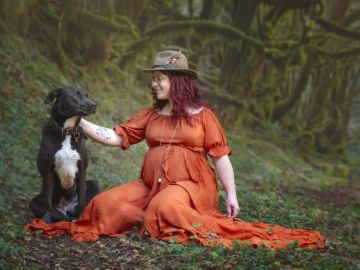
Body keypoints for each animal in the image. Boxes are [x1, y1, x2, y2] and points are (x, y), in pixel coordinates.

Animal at [28, 87, 100, 224]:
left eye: (87, 95)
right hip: (34, 201)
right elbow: (49, 204)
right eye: (76, 95)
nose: (94, 105)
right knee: (56, 213)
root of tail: (65, 207)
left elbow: (82, 201)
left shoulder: (82, 170)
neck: (67, 131)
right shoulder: (48, 171)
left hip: (95, 184)